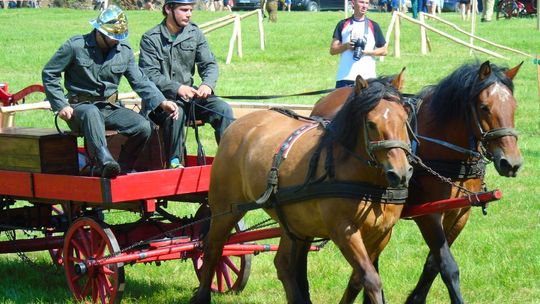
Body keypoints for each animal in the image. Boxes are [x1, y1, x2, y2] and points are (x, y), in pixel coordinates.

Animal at [192, 75, 412, 304]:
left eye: (405, 119)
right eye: (371, 124)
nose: (400, 173)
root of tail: (236, 125)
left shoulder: (382, 233)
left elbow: (357, 280)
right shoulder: (343, 229)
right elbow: (370, 278)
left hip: (293, 221)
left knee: (283, 264)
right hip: (225, 209)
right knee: (213, 250)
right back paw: (202, 294)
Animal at [310, 60, 524, 302]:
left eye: (514, 106)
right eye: (484, 107)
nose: (512, 162)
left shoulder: (460, 213)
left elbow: (433, 263)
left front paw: (416, 298)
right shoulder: (428, 215)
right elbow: (448, 266)